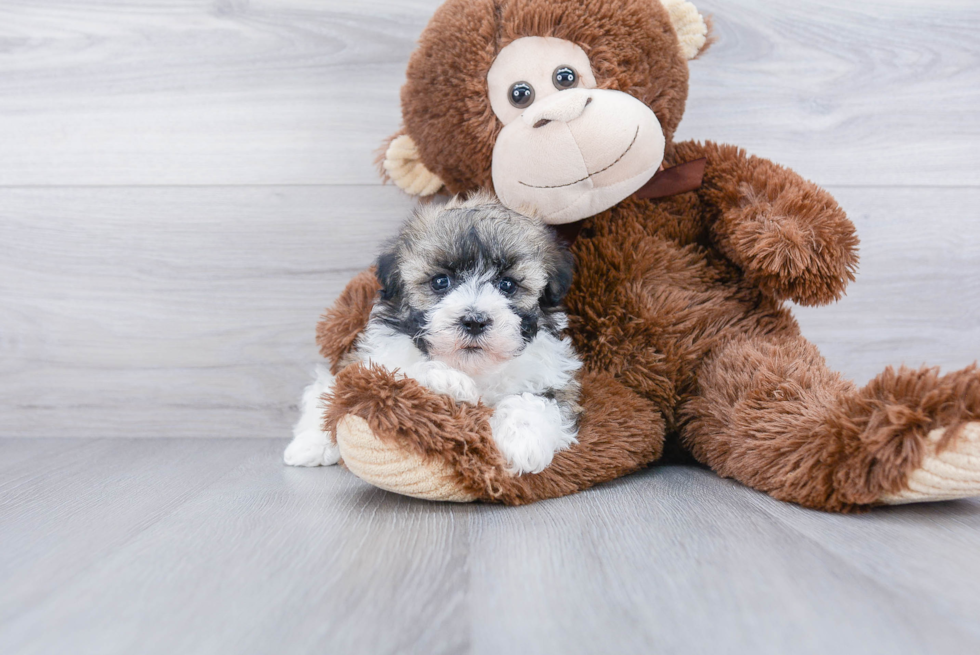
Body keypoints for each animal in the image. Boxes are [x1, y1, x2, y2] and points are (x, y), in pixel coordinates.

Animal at [288, 195, 584, 476]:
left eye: (507, 285)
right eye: (441, 282)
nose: (474, 321)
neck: (475, 368)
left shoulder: (553, 376)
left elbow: (537, 400)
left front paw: (523, 441)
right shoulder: (374, 361)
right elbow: (397, 372)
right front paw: (449, 380)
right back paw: (309, 445)